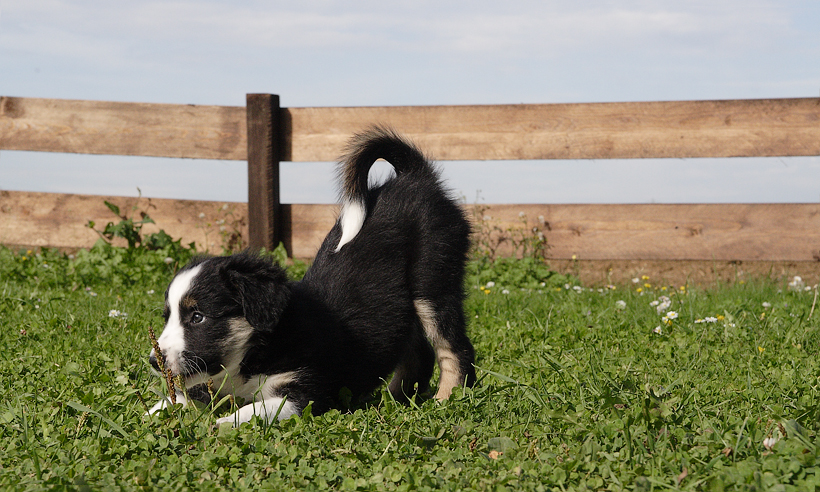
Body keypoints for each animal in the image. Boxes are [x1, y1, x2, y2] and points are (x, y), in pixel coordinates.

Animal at [149, 128, 474, 426]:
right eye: (168, 316)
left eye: (198, 317)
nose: (154, 362)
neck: (254, 352)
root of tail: (413, 177)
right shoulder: (206, 386)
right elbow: (173, 400)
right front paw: (151, 415)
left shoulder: (303, 394)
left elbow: (248, 413)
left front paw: (216, 427)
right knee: (418, 353)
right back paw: (393, 400)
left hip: (432, 282)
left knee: (455, 349)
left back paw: (447, 400)